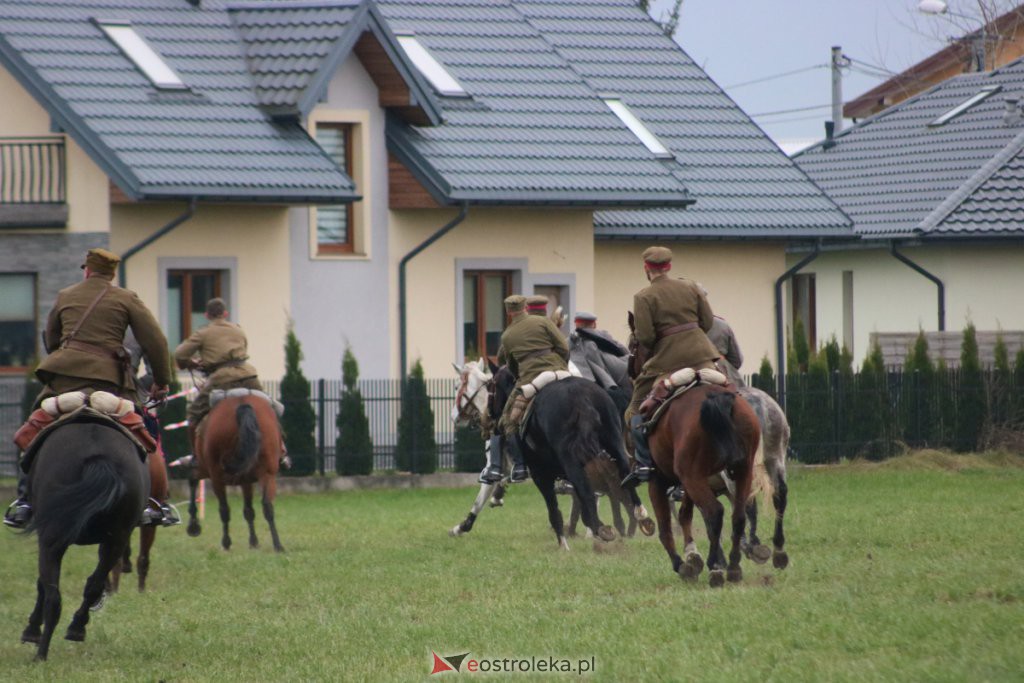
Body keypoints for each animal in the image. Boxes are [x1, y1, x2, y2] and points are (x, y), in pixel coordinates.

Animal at [18, 417, 148, 663]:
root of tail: (97, 457)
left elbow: (42, 585)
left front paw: (32, 630)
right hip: (116, 539)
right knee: (93, 585)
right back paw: (76, 628)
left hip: (52, 539)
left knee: (53, 597)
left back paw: (41, 653)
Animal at [186, 393, 284, 552]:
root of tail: (242, 403)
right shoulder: (246, 481)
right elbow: (249, 511)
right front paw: (253, 541)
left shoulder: (206, 470)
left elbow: (193, 479)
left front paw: (194, 526)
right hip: (267, 474)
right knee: (267, 505)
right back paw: (278, 545)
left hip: (215, 476)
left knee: (224, 509)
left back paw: (226, 542)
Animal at [489, 368, 651, 548]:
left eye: (493, 385)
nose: (491, 420)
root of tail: (580, 396)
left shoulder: (540, 475)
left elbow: (555, 510)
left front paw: (563, 544)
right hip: (614, 442)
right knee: (624, 477)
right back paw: (640, 516)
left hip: (570, 460)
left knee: (589, 492)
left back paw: (602, 529)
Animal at [647, 385, 761, 589]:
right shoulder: (688, 484)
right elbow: (685, 515)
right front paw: (692, 555)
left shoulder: (659, 481)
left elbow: (665, 528)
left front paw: (682, 564)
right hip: (742, 472)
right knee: (738, 516)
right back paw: (733, 566)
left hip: (693, 476)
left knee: (715, 512)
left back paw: (715, 567)